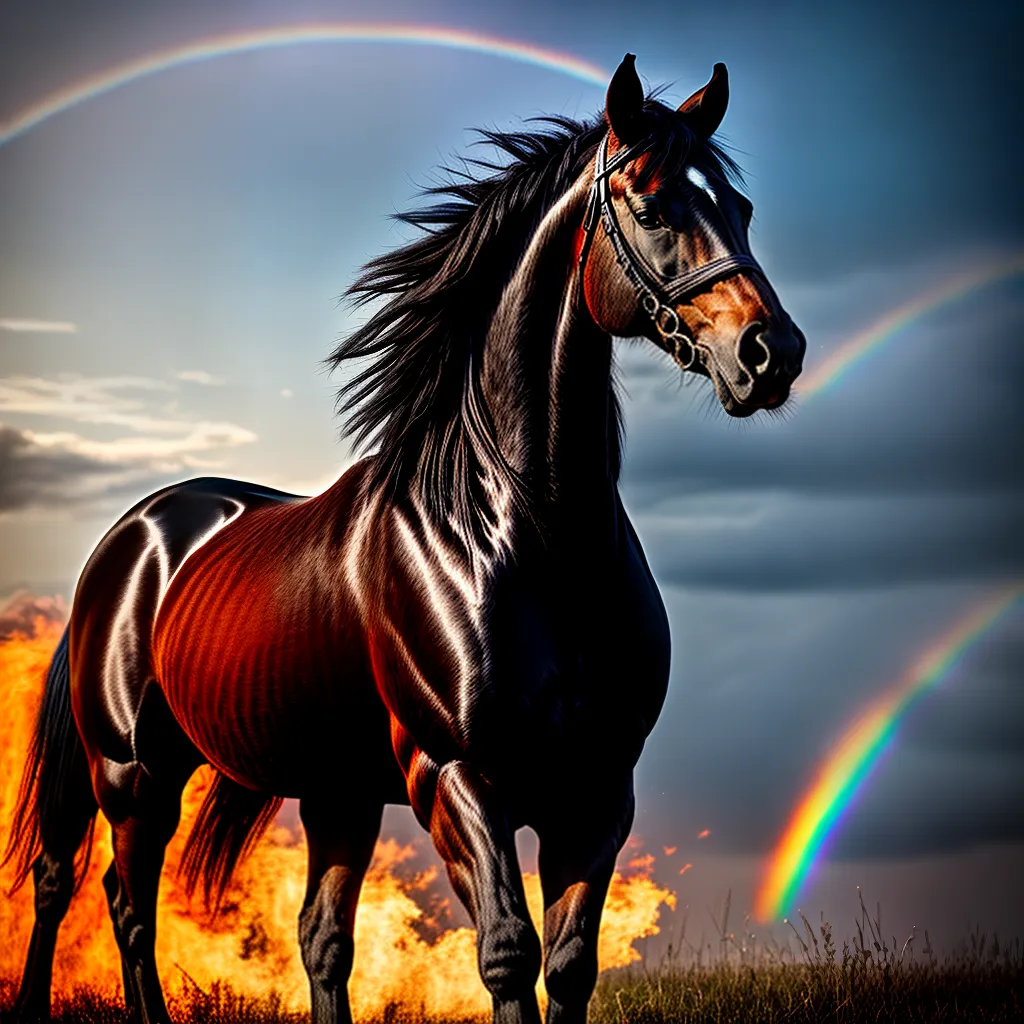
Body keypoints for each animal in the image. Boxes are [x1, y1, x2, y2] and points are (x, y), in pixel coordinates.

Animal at [5, 55, 804, 1024]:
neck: (528, 536)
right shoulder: (455, 778)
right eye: (650, 205)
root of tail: (133, 537)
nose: (772, 352)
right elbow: (508, 953)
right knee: (101, 896)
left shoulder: (595, 791)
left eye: (741, 208)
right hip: (131, 772)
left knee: (315, 939)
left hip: (333, 796)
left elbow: (569, 965)